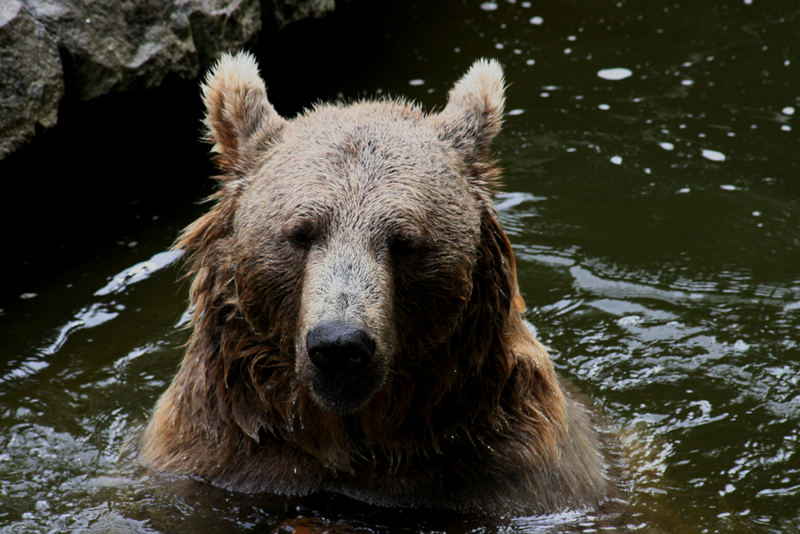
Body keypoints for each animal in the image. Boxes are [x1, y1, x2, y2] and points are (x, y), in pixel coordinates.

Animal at [141, 52, 608, 516]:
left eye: (404, 241)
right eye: (301, 233)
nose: (339, 345)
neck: (351, 435)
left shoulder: (511, 472)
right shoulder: (217, 455)